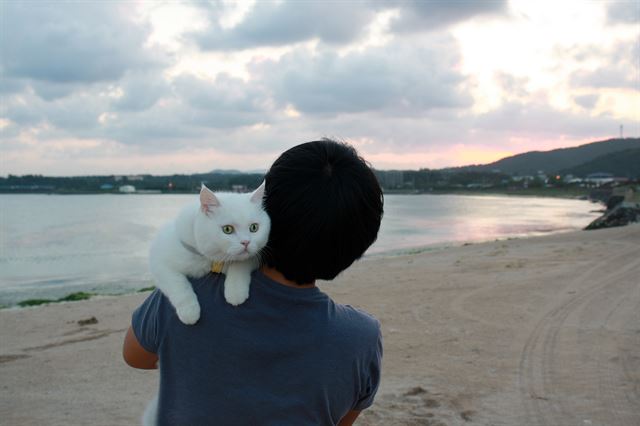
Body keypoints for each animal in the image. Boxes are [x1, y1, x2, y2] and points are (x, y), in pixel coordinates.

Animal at [150, 181, 270, 324]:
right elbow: (177, 284)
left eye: (254, 227)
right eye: (227, 229)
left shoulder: (255, 256)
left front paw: (235, 292)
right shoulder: (159, 261)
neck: (210, 258)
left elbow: (239, 264)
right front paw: (189, 312)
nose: (246, 242)